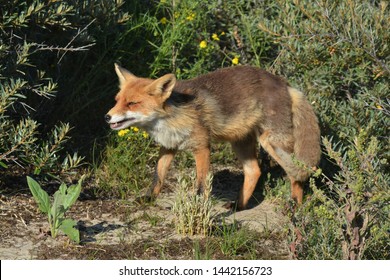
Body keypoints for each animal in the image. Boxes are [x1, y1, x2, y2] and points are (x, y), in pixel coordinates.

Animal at [105, 64, 322, 210]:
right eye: (117, 100)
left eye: (132, 103)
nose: (107, 117)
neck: (171, 118)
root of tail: (285, 84)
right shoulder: (168, 146)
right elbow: (158, 176)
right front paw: (149, 198)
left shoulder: (202, 147)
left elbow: (201, 184)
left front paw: (198, 206)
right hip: (241, 143)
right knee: (254, 171)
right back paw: (239, 206)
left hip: (273, 142)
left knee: (295, 172)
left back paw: (295, 205)